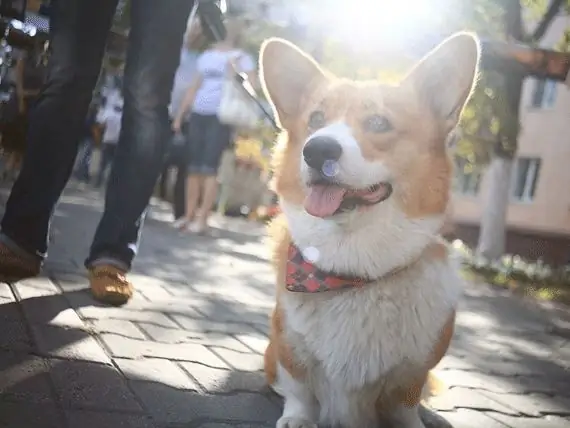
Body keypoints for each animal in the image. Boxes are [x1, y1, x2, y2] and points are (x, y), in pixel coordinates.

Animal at [260, 33, 478, 428]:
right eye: (316, 119)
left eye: (378, 122)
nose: (316, 150)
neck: (353, 273)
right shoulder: (286, 344)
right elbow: (298, 388)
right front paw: (298, 418)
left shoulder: (412, 374)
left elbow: (405, 405)